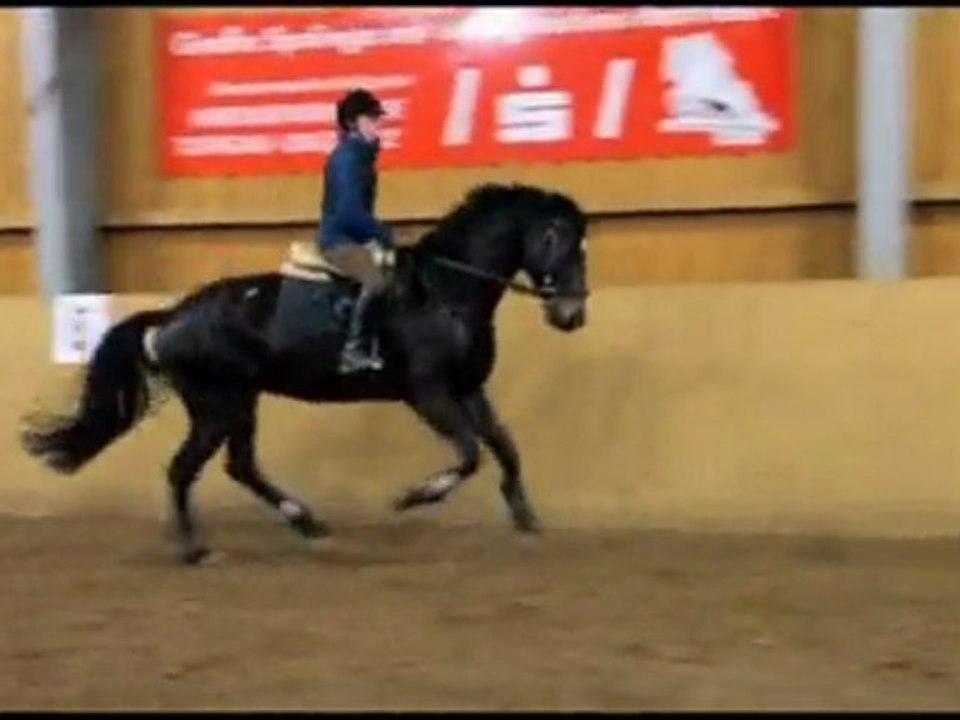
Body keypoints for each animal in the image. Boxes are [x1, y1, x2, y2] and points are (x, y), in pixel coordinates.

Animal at [21, 182, 590, 564]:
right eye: (556, 237)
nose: (572, 315)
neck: (446, 292)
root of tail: (172, 316)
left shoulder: (469, 389)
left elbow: (505, 447)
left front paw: (526, 518)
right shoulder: (427, 392)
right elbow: (471, 453)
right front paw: (413, 497)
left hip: (238, 403)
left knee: (239, 466)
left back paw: (306, 522)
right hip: (218, 404)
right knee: (185, 469)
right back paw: (194, 548)